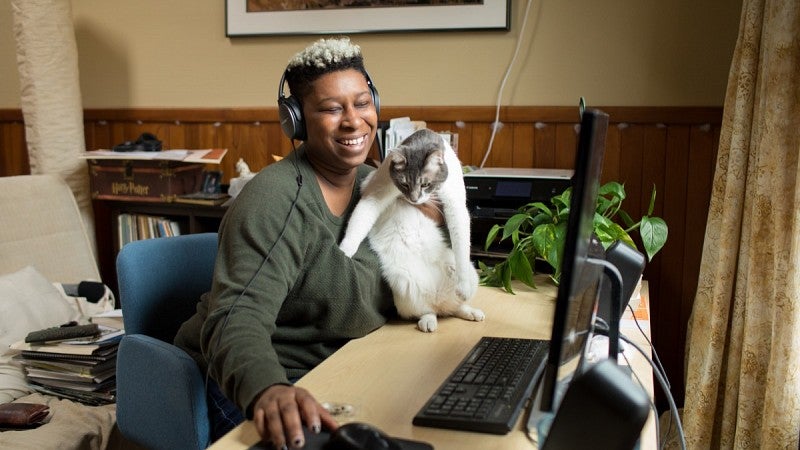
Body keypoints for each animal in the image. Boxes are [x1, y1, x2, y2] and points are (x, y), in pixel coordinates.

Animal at [338, 128, 482, 332]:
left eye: (425, 184)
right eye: (405, 184)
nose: (414, 200)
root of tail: (439, 299)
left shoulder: (455, 206)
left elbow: (461, 244)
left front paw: (463, 286)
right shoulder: (375, 192)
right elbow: (358, 223)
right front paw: (344, 250)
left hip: (472, 273)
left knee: (456, 307)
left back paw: (471, 311)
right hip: (403, 288)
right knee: (428, 311)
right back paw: (429, 321)